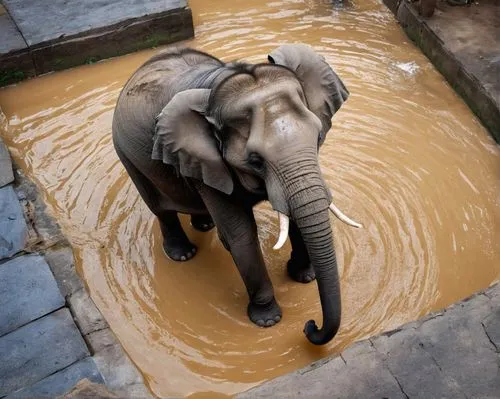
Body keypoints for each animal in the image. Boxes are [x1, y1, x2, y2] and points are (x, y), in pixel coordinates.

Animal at [113, 43, 362, 344]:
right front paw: (268, 320)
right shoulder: (206, 162)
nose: (309, 325)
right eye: (255, 160)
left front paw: (304, 277)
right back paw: (183, 254)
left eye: (318, 138)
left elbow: (293, 214)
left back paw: (205, 226)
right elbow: (240, 234)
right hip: (127, 154)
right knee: (160, 208)